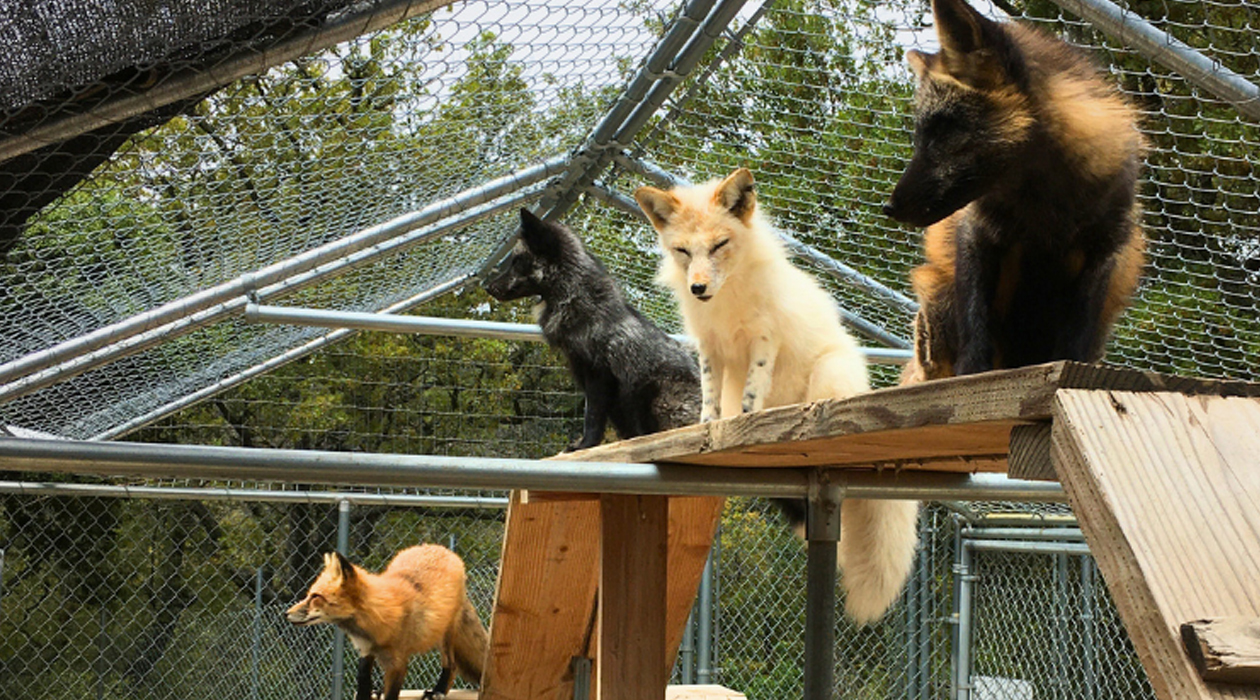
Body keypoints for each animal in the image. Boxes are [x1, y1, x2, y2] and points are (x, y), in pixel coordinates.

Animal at [286, 544, 488, 700]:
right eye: (309, 595)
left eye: (315, 597)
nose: (286, 614)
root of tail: (443, 549)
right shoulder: (366, 651)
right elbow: (362, 678)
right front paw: (368, 693)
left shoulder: (397, 663)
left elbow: (391, 694)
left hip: (446, 635)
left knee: (451, 664)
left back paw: (438, 691)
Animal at [483, 208, 701, 450]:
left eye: (516, 261)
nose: (488, 287)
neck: (574, 297)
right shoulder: (585, 373)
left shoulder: (597, 373)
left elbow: (592, 418)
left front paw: (584, 446)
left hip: (651, 395)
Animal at [635, 168, 920, 624]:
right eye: (682, 251)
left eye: (719, 245)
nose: (698, 288)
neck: (728, 303)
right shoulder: (709, 346)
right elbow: (710, 397)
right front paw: (705, 428)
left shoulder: (764, 339)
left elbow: (753, 392)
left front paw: (745, 424)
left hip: (829, 374)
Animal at [884, 0, 1145, 380]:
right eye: (920, 135)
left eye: (945, 129)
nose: (890, 207)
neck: (1044, 213)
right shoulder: (976, 233)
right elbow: (976, 325)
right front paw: (972, 376)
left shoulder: (1106, 247)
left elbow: (1075, 341)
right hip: (936, 295)